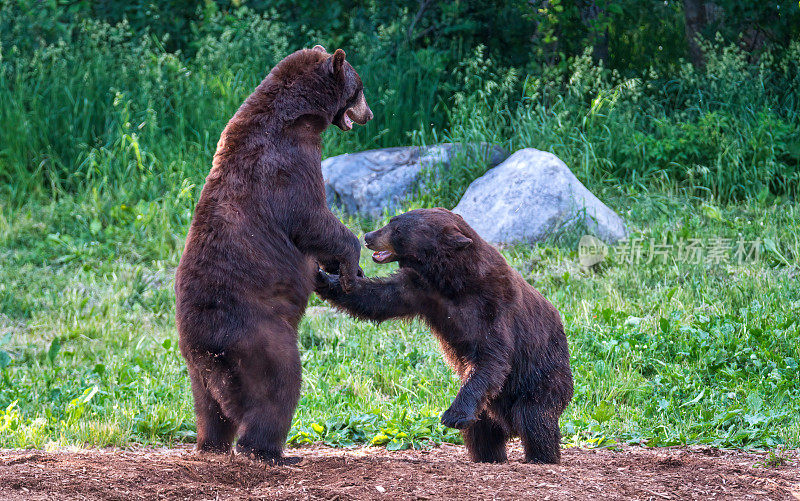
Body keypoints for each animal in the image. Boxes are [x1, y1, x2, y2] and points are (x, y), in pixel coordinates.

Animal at [174, 45, 372, 462]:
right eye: (359, 86)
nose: (370, 114)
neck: (298, 118)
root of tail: (207, 349)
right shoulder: (286, 164)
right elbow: (311, 218)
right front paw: (351, 266)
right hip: (258, 335)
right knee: (279, 384)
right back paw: (272, 451)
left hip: (196, 368)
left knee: (209, 408)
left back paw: (211, 443)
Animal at [316, 206, 572, 460]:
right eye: (392, 220)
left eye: (397, 229)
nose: (369, 236)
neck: (454, 280)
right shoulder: (422, 290)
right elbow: (376, 297)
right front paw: (323, 276)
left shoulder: (494, 306)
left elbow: (491, 356)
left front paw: (453, 415)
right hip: (488, 408)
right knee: (482, 432)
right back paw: (489, 456)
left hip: (543, 376)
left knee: (534, 417)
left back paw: (540, 456)